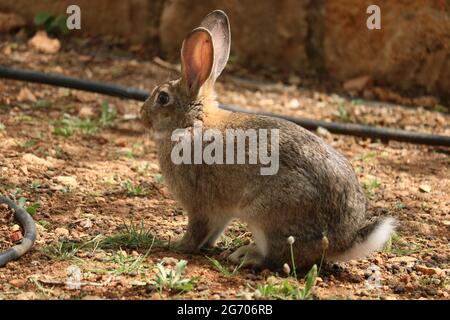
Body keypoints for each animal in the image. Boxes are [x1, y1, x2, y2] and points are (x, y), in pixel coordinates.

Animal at [140, 10, 394, 270]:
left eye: (162, 98)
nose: (142, 115)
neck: (192, 124)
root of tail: (341, 242)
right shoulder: (220, 212)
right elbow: (214, 230)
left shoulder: (199, 204)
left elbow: (196, 230)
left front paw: (178, 246)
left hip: (267, 215)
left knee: (277, 257)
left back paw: (246, 255)